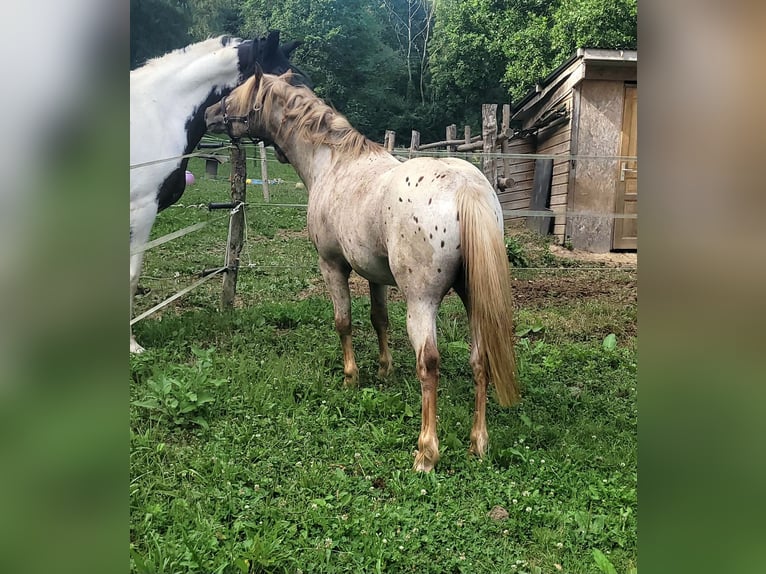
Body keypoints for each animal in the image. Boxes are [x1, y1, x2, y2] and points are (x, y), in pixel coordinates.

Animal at [204, 70, 520, 472]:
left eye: (236, 93)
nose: (209, 114)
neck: (333, 163)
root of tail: (465, 185)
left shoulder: (332, 266)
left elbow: (344, 321)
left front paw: (351, 377)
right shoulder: (374, 275)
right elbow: (378, 319)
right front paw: (384, 370)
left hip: (421, 303)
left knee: (429, 363)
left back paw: (426, 452)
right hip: (474, 299)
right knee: (480, 361)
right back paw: (478, 443)